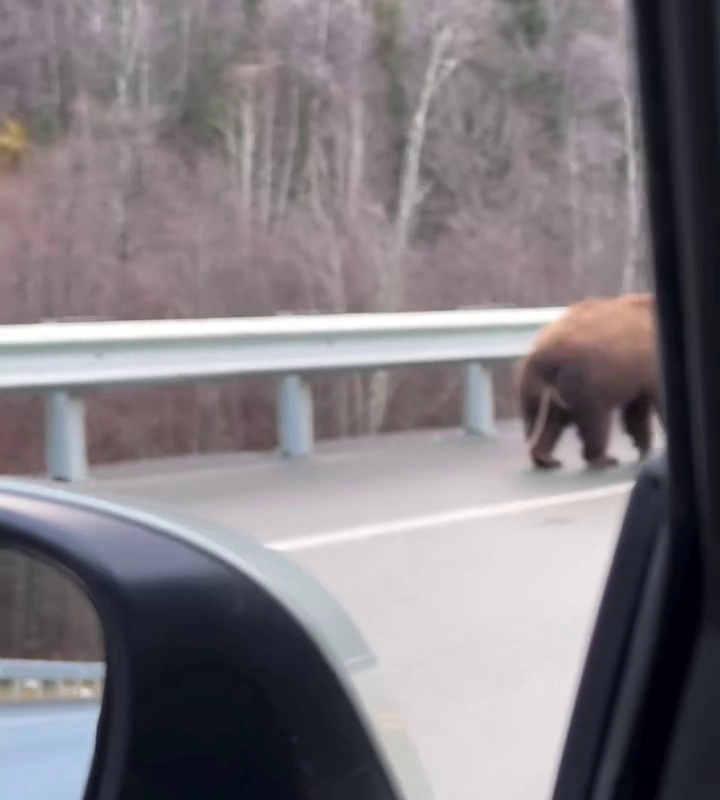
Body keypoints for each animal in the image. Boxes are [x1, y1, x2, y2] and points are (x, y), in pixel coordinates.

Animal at [516, 292, 660, 468]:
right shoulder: (648, 364)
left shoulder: (638, 374)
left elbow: (636, 410)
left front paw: (643, 448)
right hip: (585, 380)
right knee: (595, 420)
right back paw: (603, 458)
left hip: (538, 389)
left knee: (548, 421)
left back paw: (546, 459)